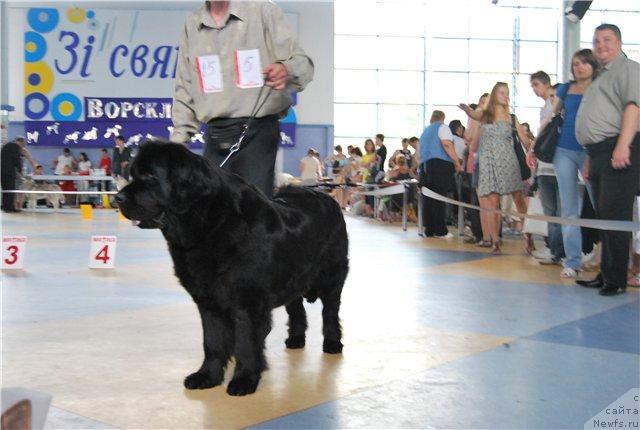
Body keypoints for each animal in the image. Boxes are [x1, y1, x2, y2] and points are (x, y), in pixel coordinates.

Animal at [117, 142, 352, 396]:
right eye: (133, 174)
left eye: (150, 177)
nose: (118, 197)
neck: (210, 224)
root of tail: (326, 196)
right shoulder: (208, 300)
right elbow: (212, 341)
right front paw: (207, 376)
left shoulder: (247, 301)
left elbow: (246, 342)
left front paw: (244, 380)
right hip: (294, 277)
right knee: (296, 308)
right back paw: (296, 339)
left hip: (332, 275)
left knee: (330, 312)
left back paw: (332, 343)